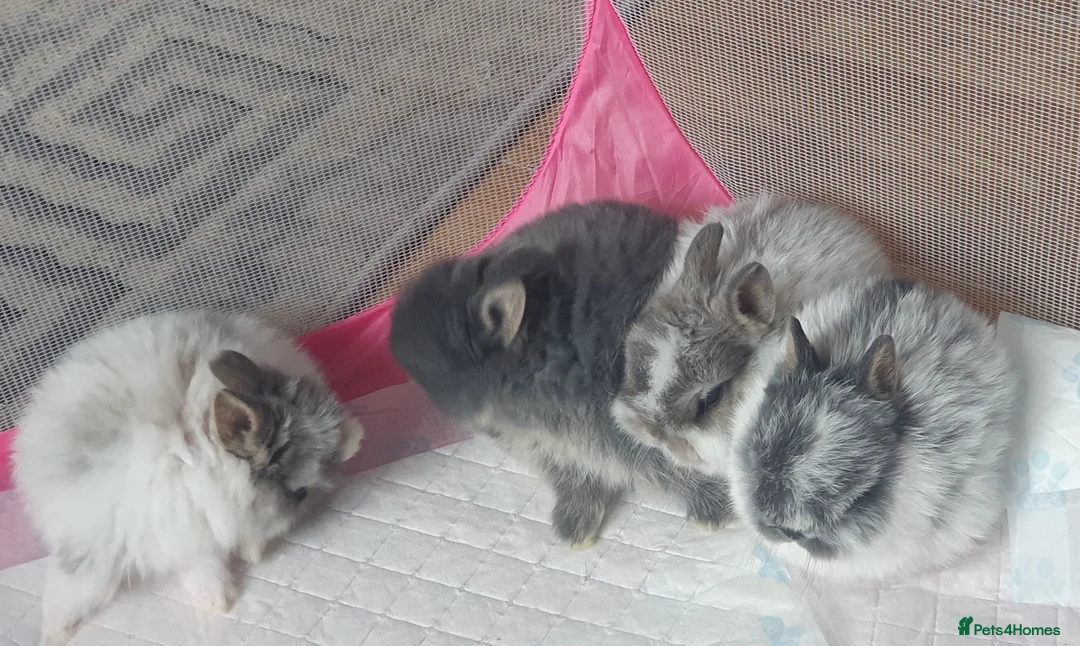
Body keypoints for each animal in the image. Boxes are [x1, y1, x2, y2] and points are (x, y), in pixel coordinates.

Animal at [13, 310, 365, 642]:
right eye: (298, 493)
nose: (357, 440)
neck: (196, 451)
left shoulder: (189, 527)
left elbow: (200, 562)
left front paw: (217, 600)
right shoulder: (107, 536)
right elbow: (79, 586)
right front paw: (54, 633)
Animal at [390, 201, 734, 547]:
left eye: (442, 358)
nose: (393, 344)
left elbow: (674, 469)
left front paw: (715, 509)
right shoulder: (552, 449)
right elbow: (577, 478)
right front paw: (575, 528)